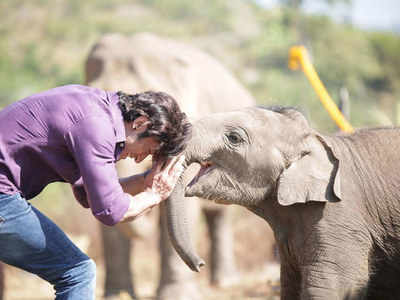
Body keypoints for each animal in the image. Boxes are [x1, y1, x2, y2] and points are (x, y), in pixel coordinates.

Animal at [165, 106, 400, 298]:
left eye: (233, 137)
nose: (200, 264)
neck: (315, 139)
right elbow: (290, 287)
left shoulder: (340, 219)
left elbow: (332, 288)